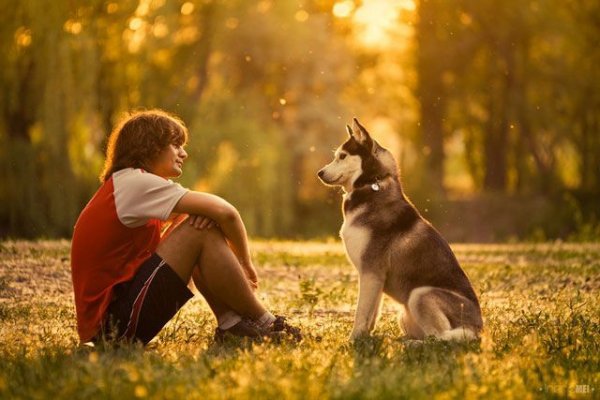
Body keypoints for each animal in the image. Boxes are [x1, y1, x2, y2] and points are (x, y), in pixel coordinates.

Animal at [318, 118, 482, 340]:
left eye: (342, 156)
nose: (319, 173)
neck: (372, 185)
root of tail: (478, 327)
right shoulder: (375, 278)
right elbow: (371, 314)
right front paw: (366, 338)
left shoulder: (371, 271)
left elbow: (361, 312)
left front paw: (352, 340)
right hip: (404, 315)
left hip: (420, 294)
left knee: (438, 338)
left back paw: (413, 344)